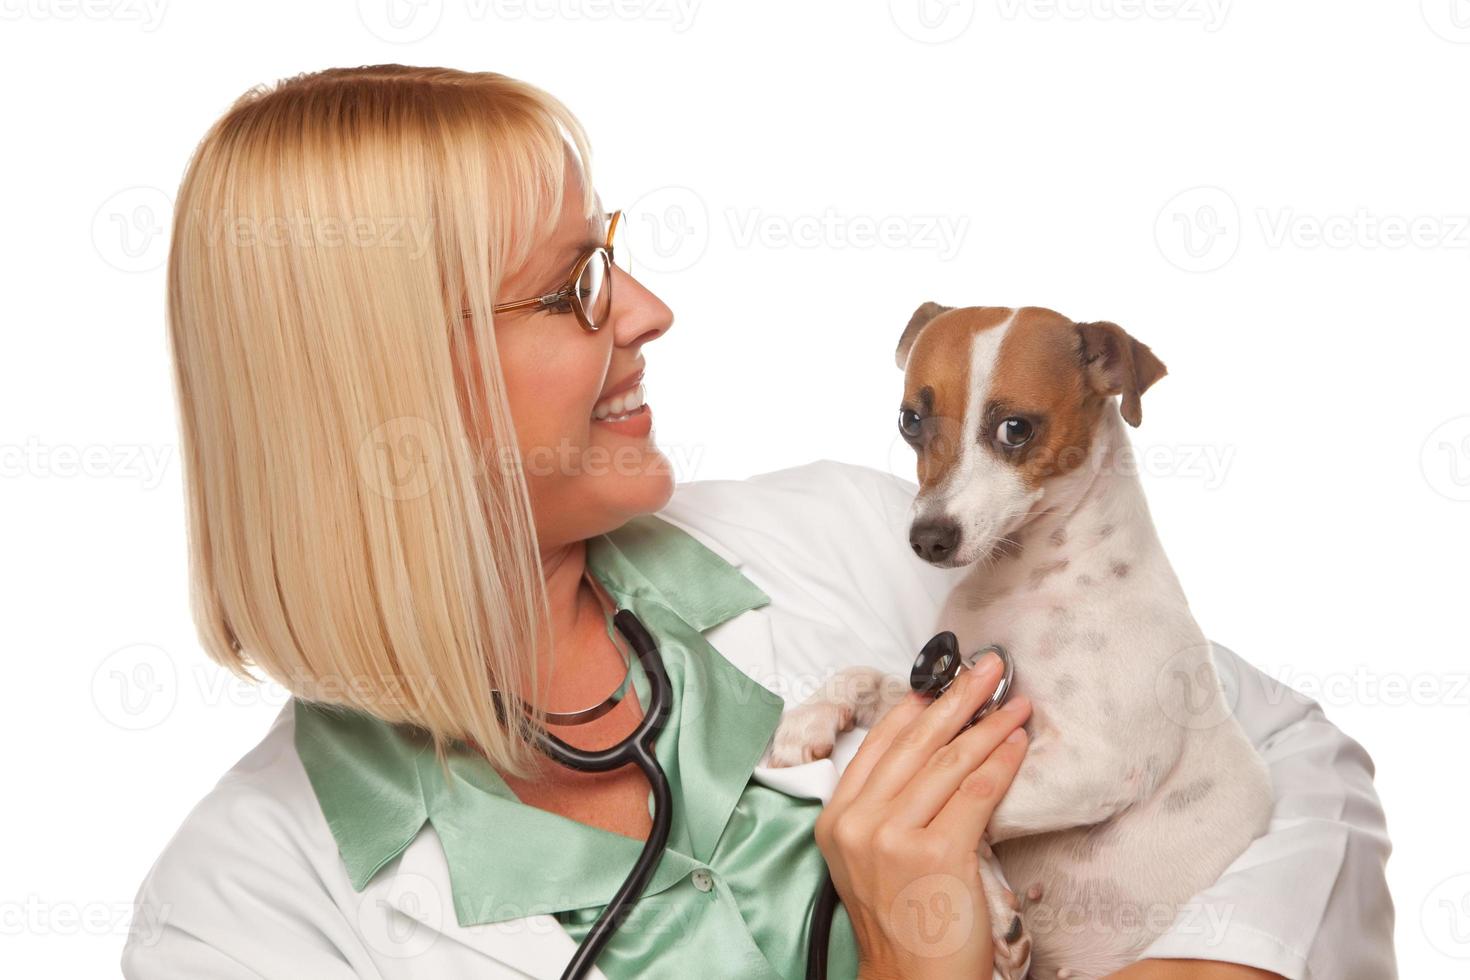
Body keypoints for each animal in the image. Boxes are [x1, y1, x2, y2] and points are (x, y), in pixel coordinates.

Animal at [770, 302, 1275, 975]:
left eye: (1016, 428)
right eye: (910, 420)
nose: (928, 538)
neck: (1028, 579)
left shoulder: (1097, 763)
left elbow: (976, 812)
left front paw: (992, 905)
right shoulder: (946, 689)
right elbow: (865, 679)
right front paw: (808, 720)